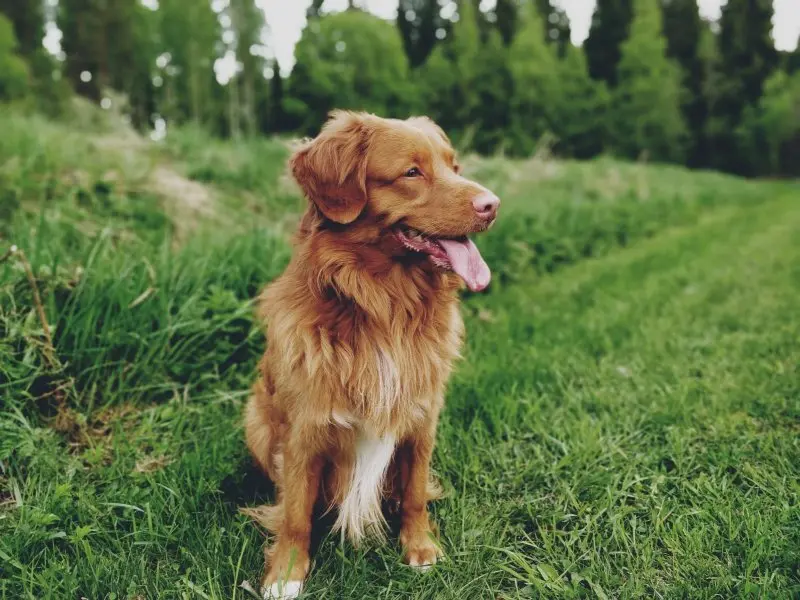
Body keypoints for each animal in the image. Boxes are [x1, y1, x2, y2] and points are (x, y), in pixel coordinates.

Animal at [242, 110, 500, 596]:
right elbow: (296, 512)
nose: (493, 205)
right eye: (412, 172)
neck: (385, 308)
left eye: (453, 166)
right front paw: (286, 573)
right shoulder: (304, 428)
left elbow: (415, 493)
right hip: (257, 419)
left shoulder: (421, 418)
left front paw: (420, 548)